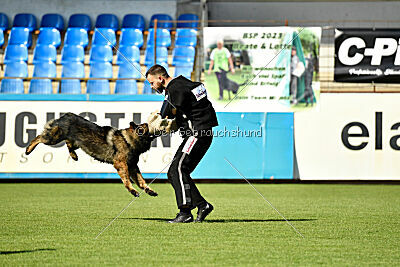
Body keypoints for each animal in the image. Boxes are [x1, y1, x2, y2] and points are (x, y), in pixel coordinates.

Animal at [24, 112, 159, 198]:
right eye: (145, 127)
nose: (152, 124)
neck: (129, 140)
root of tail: (66, 115)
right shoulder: (121, 164)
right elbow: (127, 180)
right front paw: (132, 190)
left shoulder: (132, 166)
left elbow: (141, 180)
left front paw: (149, 190)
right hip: (53, 138)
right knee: (39, 137)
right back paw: (28, 149)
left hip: (77, 142)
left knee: (68, 143)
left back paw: (74, 155)